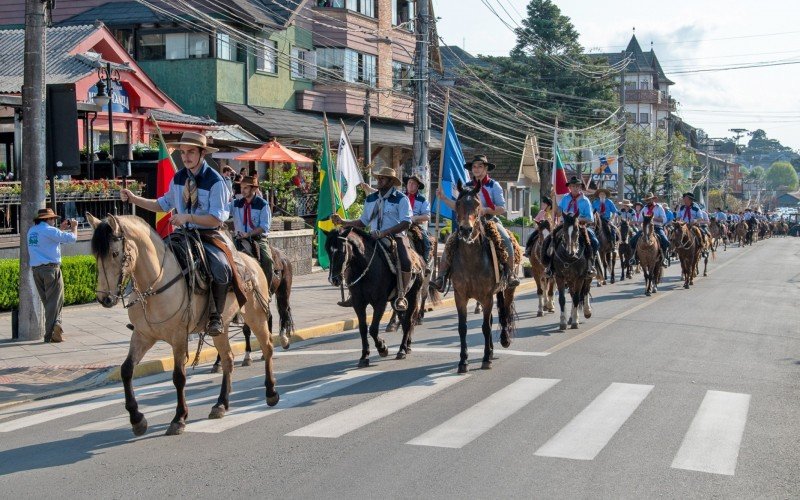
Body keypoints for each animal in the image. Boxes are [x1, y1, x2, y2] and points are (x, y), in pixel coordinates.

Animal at [88, 213, 280, 436]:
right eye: (95, 255)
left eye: (115, 253)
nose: (105, 299)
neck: (155, 283)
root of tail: (251, 261)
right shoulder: (143, 336)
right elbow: (126, 370)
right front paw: (137, 419)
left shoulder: (178, 337)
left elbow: (179, 376)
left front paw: (179, 418)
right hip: (221, 328)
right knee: (228, 359)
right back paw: (220, 404)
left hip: (256, 316)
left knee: (267, 348)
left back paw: (271, 392)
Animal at [211, 240, 296, 374]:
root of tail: (283, 257)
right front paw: (218, 362)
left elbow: (246, 330)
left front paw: (247, 356)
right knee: (269, 318)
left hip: (282, 292)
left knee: (283, 312)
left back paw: (282, 340)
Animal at [324, 228, 424, 368]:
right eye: (327, 250)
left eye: (342, 250)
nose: (334, 280)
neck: (365, 267)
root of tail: (418, 258)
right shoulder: (358, 303)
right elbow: (363, 329)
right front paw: (364, 356)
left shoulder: (380, 303)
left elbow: (373, 329)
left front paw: (382, 348)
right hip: (396, 302)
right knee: (404, 322)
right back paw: (407, 346)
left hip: (413, 296)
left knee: (409, 321)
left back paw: (402, 350)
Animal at [446, 179, 516, 372]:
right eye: (458, 203)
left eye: (478, 205)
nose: (465, 230)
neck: (471, 260)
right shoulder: (460, 296)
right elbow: (462, 327)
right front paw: (463, 361)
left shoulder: (486, 297)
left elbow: (485, 327)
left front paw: (485, 359)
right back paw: (491, 350)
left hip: (506, 289)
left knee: (505, 311)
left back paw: (504, 340)